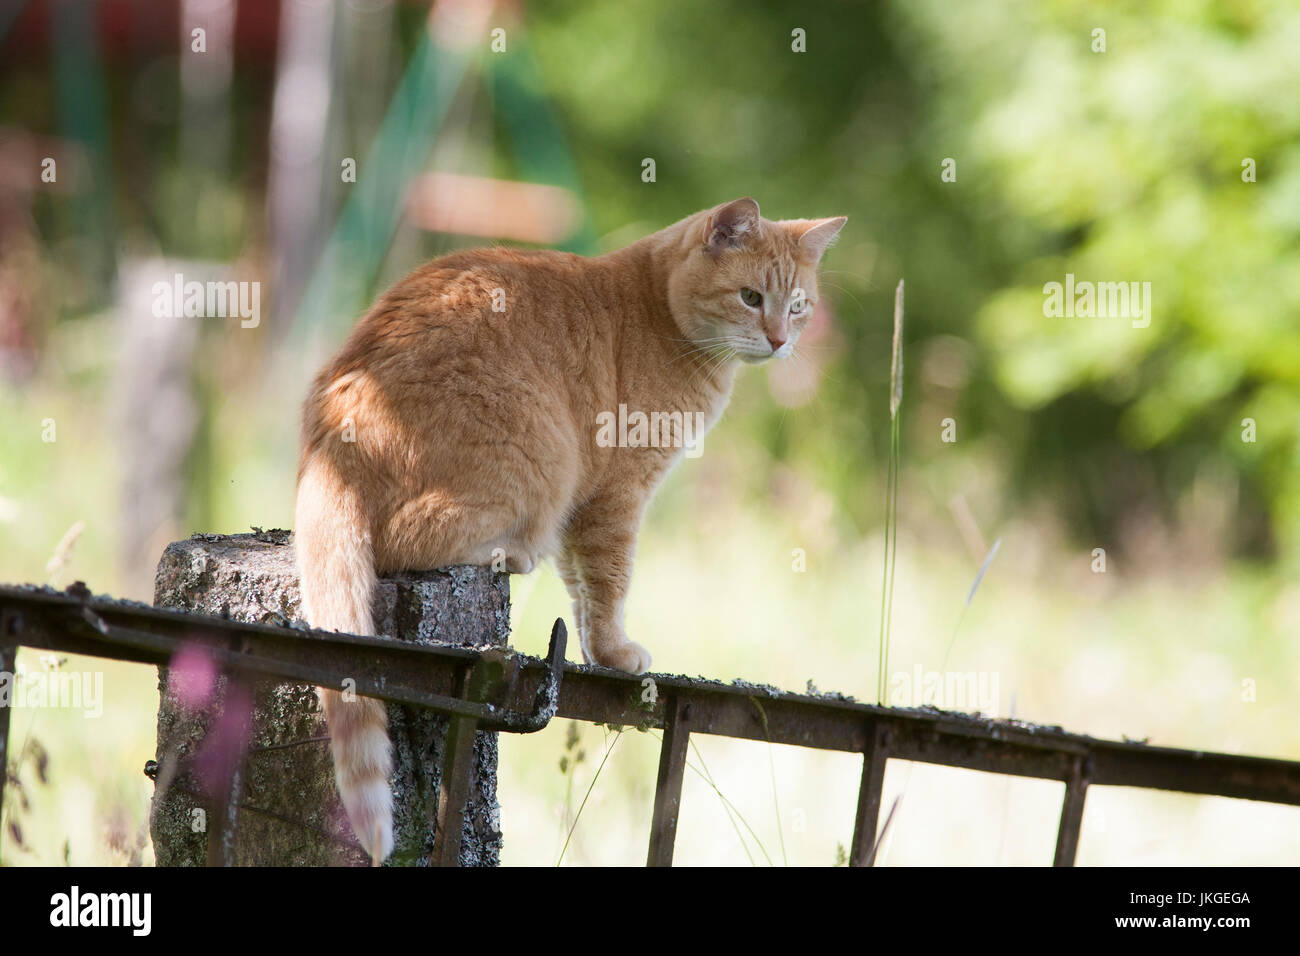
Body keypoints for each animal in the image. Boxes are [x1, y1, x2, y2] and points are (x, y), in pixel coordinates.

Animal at [293, 196, 842, 858]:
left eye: (797, 305)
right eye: (750, 297)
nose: (780, 339)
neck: (657, 310)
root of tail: (332, 436)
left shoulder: (582, 511)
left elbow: (581, 589)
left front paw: (593, 648)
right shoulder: (618, 495)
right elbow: (611, 581)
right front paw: (615, 652)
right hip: (540, 455)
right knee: (403, 540)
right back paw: (508, 552)